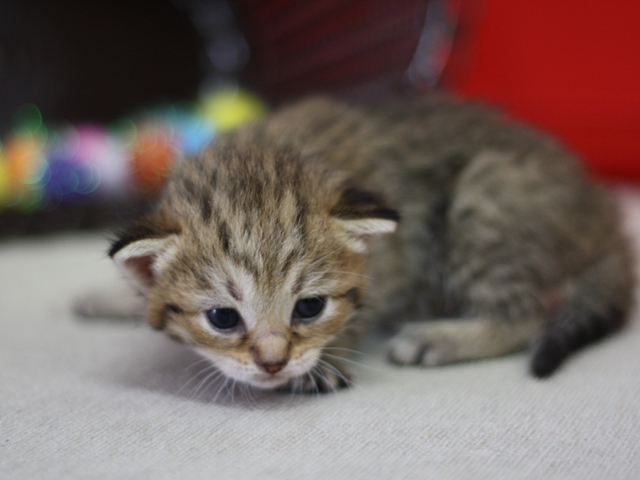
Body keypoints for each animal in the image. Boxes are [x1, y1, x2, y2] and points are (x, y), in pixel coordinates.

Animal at [101, 95, 636, 392]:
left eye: (309, 308)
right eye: (222, 318)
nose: (274, 364)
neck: (269, 154)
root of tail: (604, 214)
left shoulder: (400, 255)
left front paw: (329, 358)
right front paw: (107, 299)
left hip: (484, 195)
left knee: (526, 316)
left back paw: (440, 337)